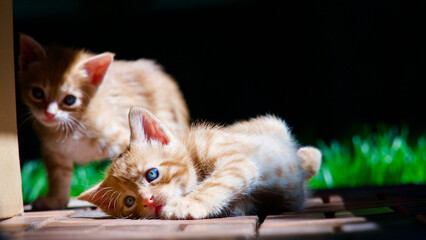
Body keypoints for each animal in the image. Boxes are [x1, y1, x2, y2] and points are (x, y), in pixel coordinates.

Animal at [18, 33, 188, 210]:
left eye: (70, 99)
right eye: (37, 93)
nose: (49, 113)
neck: (70, 127)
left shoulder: (119, 139)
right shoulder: (55, 152)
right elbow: (59, 178)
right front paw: (56, 201)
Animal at [78, 107, 322, 219]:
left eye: (152, 174)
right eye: (129, 201)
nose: (148, 200)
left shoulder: (236, 161)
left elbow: (216, 183)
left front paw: (185, 204)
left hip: (270, 125)